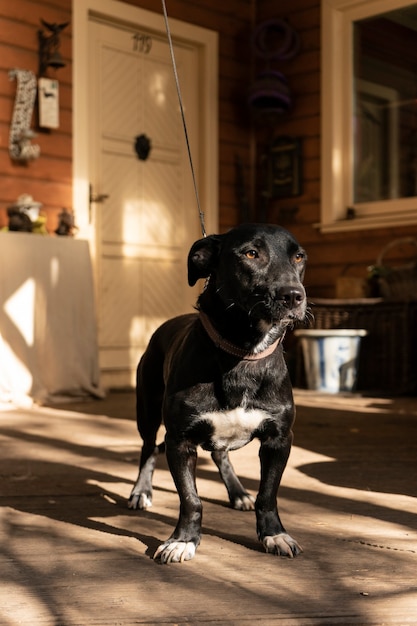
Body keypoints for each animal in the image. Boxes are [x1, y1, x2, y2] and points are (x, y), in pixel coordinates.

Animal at [127, 223, 306, 560]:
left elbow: (268, 493)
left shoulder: (279, 440)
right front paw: (183, 540)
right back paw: (141, 491)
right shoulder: (180, 440)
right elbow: (190, 499)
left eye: (299, 257)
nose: (293, 295)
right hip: (147, 409)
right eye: (251, 253)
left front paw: (274, 534)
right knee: (147, 448)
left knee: (221, 455)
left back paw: (237, 492)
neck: (243, 351)